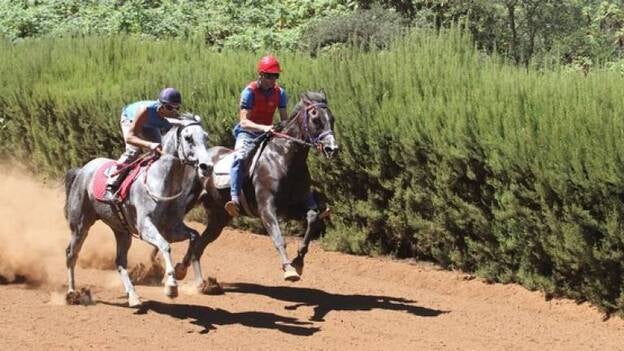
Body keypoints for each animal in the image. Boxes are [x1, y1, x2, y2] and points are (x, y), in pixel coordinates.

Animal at [62, 116, 212, 308]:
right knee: (71, 254)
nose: (207, 166)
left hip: (121, 230)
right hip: (80, 225)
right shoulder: (145, 227)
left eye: (205, 137)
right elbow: (165, 245)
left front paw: (181, 270)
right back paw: (72, 293)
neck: (162, 181)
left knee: (120, 262)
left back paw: (133, 296)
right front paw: (171, 286)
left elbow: (194, 236)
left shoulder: (171, 228)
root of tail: (82, 170)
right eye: (188, 138)